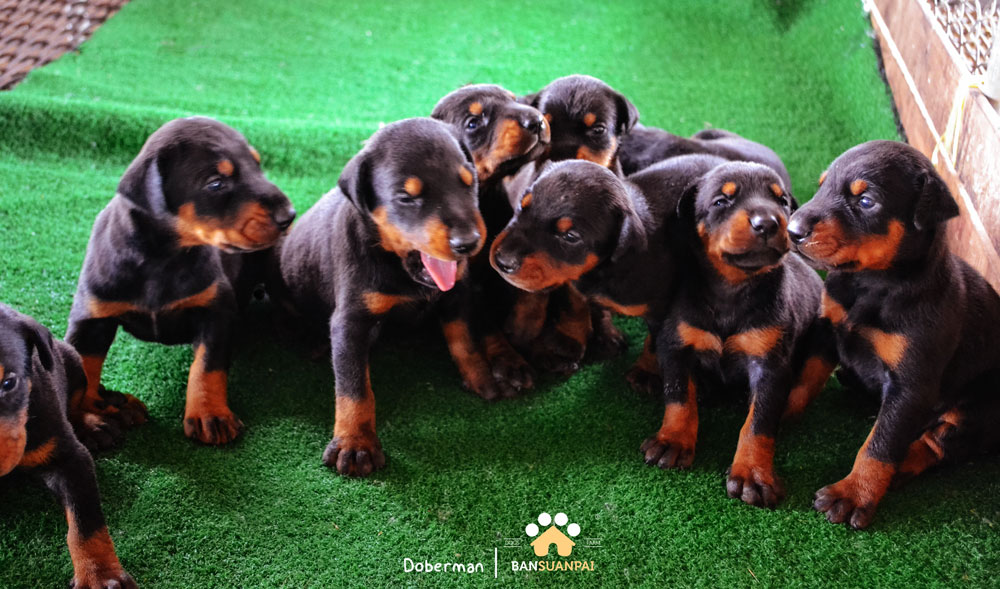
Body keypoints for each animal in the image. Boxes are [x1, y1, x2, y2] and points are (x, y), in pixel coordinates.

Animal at [1, 304, 135, 588]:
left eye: (8, 383)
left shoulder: (70, 457)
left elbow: (85, 521)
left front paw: (100, 575)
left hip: (72, 362)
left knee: (75, 403)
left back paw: (94, 427)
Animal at [65, 117, 296, 446]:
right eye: (216, 183)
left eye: (257, 165)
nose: (288, 215)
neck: (163, 257)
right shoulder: (92, 318)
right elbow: (81, 368)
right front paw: (87, 422)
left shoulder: (216, 311)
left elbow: (207, 365)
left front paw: (210, 414)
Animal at [272, 117, 499, 477]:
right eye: (406, 197)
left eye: (469, 183)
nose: (469, 243)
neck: (399, 266)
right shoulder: (350, 321)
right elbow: (354, 387)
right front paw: (355, 444)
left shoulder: (457, 295)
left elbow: (464, 339)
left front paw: (481, 377)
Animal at [431, 84, 551, 395]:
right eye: (473, 123)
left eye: (514, 99)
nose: (536, 120)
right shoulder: (471, 283)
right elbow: (485, 324)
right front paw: (510, 363)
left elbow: (531, 292)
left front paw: (526, 331)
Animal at [788, 140, 1000, 529]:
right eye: (822, 186)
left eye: (866, 201)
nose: (792, 230)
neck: (870, 284)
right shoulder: (827, 329)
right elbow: (805, 380)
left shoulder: (912, 383)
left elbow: (881, 444)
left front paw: (852, 494)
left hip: (982, 405)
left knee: (938, 442)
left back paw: (900, 469)